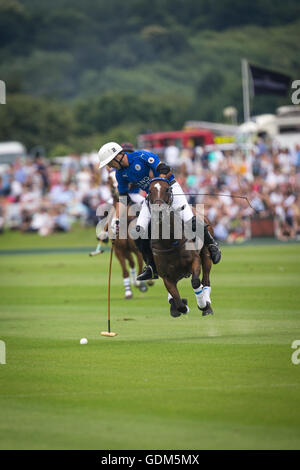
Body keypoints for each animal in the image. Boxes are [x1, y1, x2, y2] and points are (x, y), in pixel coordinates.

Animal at [148, 178, 213, 318]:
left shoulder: (195, 260)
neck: (170, 242)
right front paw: (182, 306)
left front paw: (203, 305)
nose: (159, 211)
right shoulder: (167, 276)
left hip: (206, 255)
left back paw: (207, 306)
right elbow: (179, 304)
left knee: (205, 280)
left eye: (167, 189)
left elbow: (196, 282)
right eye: (149, 191)